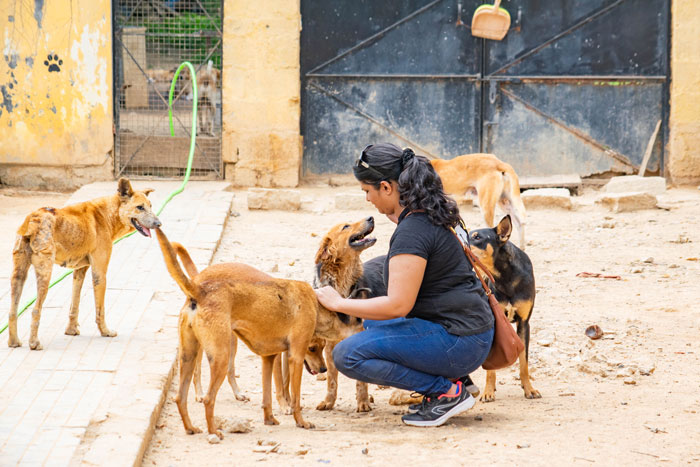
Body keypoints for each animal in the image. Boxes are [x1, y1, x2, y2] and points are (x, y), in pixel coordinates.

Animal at [6, 179, 160, 352]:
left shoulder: (79, 271)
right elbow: (100, 309)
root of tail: (34, 218)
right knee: (35, 311)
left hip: (18, 276)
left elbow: (75, 305)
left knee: (12, 312)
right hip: (45, 277)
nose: (159, 224)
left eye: (151, 206)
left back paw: (13, 342)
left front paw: (71, 330)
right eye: (140, 207)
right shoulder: (99, 272)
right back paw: (34, 343)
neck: (107, 214)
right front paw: (105, 332)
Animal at [154, 229, 360, 440]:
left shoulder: (268, 358)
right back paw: (214, 432)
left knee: (180, 397)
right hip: (220, 357)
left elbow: (267, 397)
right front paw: (301, 422)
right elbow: (294, 399)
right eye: (311, 348)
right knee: (209, 399)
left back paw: (191, 428)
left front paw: (270, 419)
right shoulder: (295, 357)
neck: (315, 304)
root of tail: (200, 290)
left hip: (188, 355)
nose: (324, 369)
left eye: (321, 347)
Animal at [470, 216, 540, 402]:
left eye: (477, 237)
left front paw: (529, 389)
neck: (504, 274)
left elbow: (524, 362)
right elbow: (490, 368)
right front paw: (488, 391)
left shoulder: (524, 323)